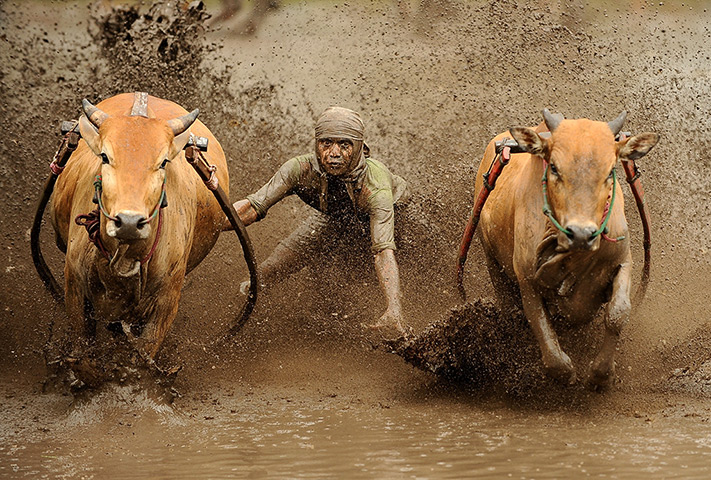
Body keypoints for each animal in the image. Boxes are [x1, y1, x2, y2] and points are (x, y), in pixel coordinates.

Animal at [49, 91, 231, 382]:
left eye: (163, 161)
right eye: (105, 156)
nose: (129, 222)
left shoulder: (167, 301)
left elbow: (142, 354)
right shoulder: (74, 286)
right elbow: (83, 349)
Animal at [476, 110, 660, 388]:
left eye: (610, 171)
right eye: (553, 167)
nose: (581, 233)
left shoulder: (623, 260)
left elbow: (618, 314)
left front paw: (600, 373)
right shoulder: (526, 278)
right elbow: (539, 324)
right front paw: (566, 373)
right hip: (492, 262)